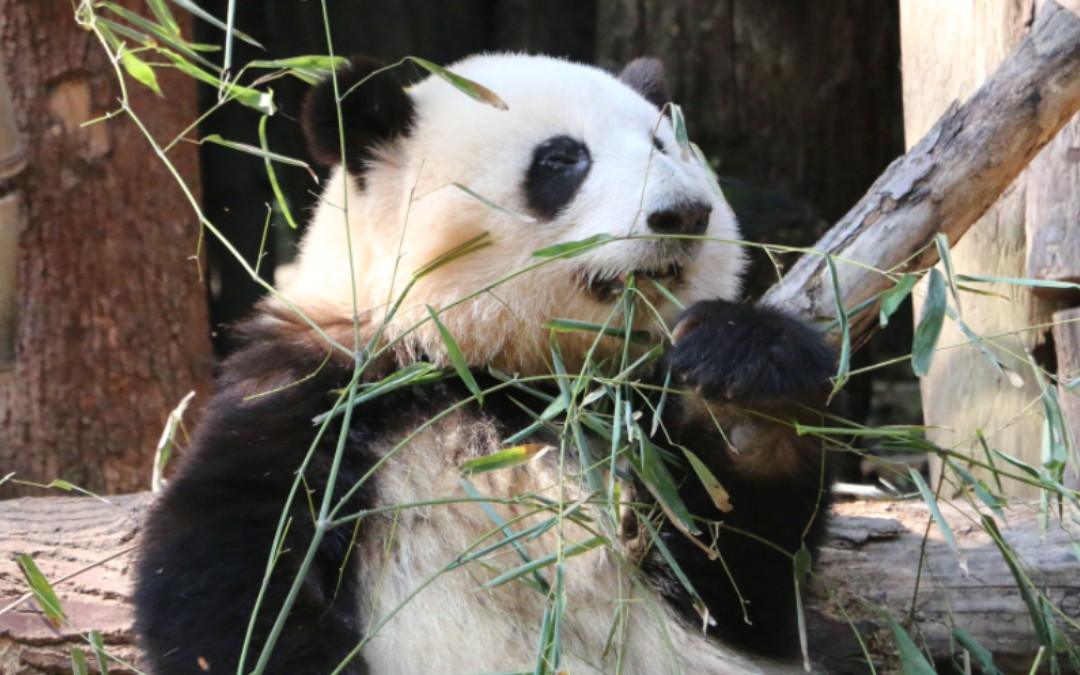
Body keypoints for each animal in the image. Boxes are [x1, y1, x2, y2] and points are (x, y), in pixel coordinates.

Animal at [132, 54, 833, 673]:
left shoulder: (633, 424)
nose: (683, 213)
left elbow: (740, 582)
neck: (498, 372)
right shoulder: (319, 393)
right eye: (562, 159)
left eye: (664, 145)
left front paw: (746, 395)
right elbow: (233, 571)